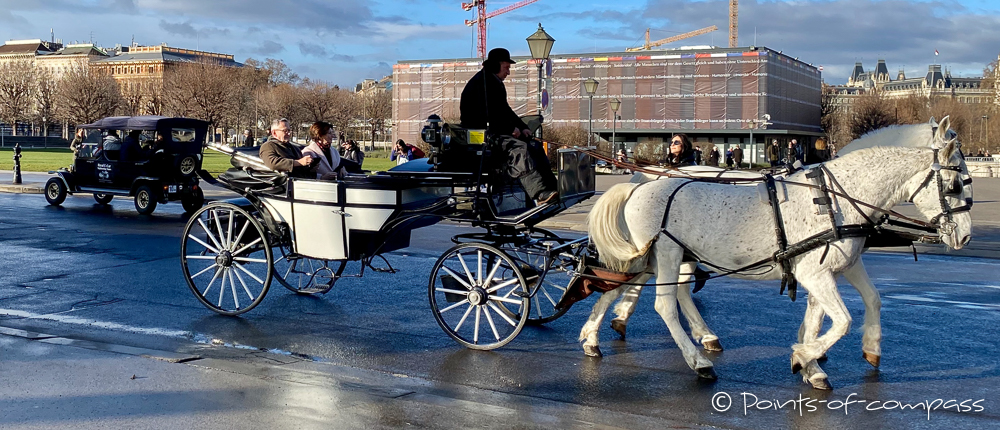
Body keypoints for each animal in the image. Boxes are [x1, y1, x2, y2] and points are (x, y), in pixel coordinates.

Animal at [584, 118, 972, 390]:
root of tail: (638, 184)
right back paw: (697, 360)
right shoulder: (814, 273)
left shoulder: (840, 264)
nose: (966, 236)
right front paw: (805, 356)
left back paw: (594, 335)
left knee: (622, 285)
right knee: (663, 303)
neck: (836, 198)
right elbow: (841, 319)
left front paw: (844, 354)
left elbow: (863, 303)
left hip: (660, 256)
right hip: (665, 253)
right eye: (955, 184)